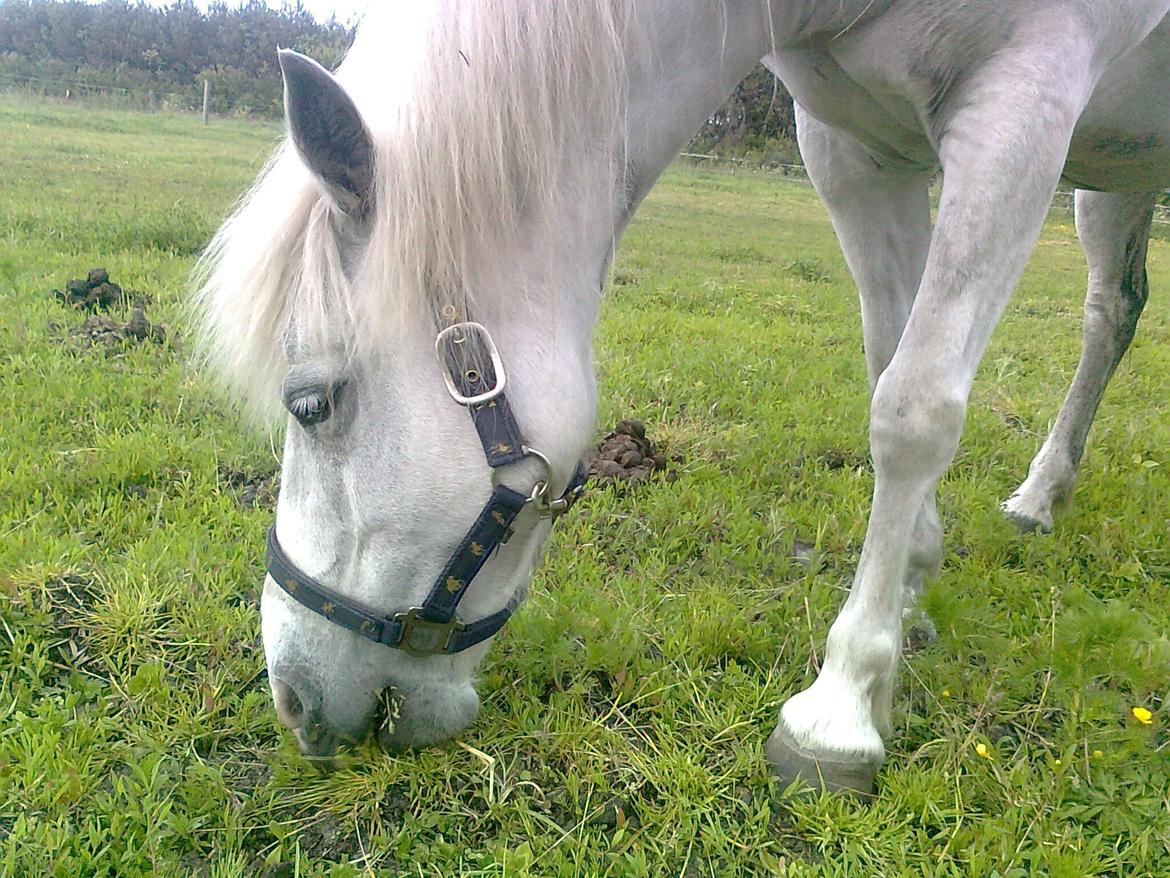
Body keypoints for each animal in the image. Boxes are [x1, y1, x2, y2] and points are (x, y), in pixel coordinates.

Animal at [196, 0, 1170, 795]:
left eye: (312, 403)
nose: (292, 701)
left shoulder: (1026, 96)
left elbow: (916, 410)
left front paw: (841, 709)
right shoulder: (854, 148)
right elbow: (891, 361)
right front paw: (910, 596)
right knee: (1111, 313)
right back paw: (1042, 495)